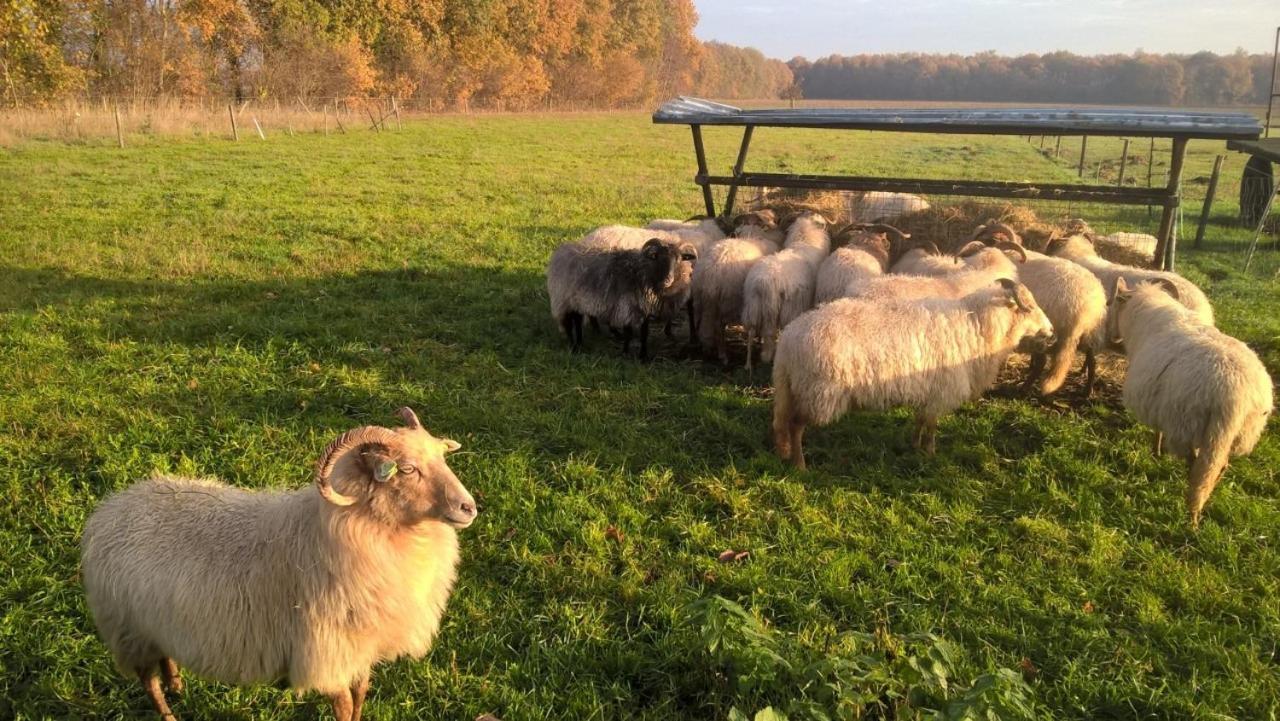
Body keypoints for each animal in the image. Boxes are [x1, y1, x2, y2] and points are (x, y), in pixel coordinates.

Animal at [81, 409, 481, 721]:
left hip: (154, 624)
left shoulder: (360, 649)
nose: (469, 508)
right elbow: (344, 705)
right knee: (147, 680)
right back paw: (167, 712)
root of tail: (110, 508)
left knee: (165, 658)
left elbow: (361, 696)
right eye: (408, 469)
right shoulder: (327, 653)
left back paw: (177, 685)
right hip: (129, 628)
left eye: (442, 457)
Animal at [762, 279, 1054, 466]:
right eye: (1030, 306)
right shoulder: (942, 389)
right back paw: (800, 465)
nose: (1051, 330)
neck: (977, 325)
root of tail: (788, 341)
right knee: (796, 425)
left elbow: (920, 419)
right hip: (819, 392)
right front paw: (931, 452)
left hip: (794, 388)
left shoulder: (928, 388)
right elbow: (932, 425)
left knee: (784, 423)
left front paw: (914, 446)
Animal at [1105, 279, 1274, 527]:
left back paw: (1191, 513)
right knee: (1218, 466)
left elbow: (1158, 430)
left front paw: (1155, 452)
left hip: (1186, 425)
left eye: (1111, 304)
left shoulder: (1161, 405)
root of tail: (1235, 394)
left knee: (1197, 468)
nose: (1111, 338)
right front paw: (1157, 453)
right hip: (1237, 432)